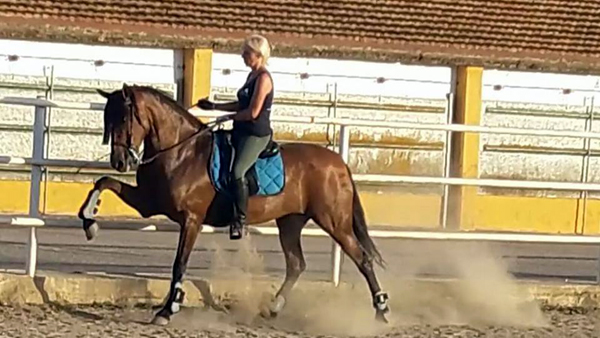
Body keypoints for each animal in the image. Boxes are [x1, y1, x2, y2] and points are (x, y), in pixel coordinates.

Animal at [77, 82, 392, 324]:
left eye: (123, 118)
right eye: (107, 118)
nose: (119, 161)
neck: (181, 151)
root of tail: (339, 163)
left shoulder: (191, 220)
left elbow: (179, 264)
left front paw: (168, 309)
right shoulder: (148, 204)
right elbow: (103, 182)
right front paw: (90, 222)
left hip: (334, 221)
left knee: (362, 258)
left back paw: (382, 310)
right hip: (290, 221)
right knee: (296, 264)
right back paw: (274, 307)